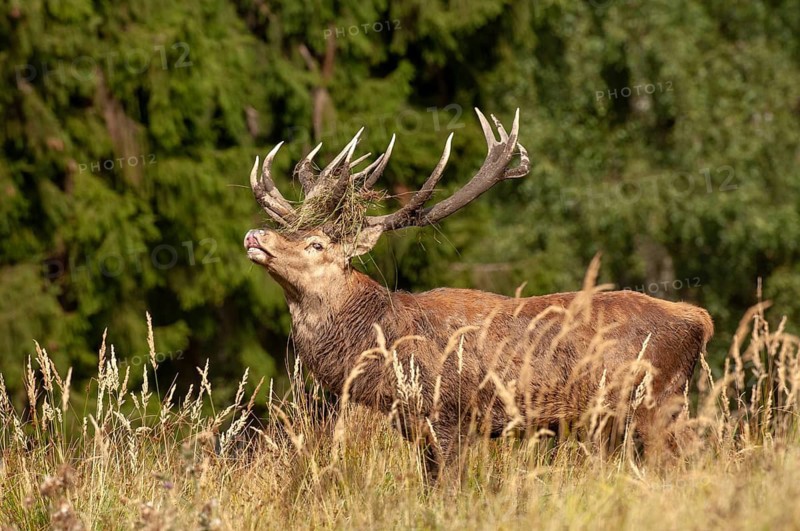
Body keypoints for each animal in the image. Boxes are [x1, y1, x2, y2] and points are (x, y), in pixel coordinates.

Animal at [243, 108, 714, 482]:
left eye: (316, 244)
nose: (255, 235)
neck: (383, 342)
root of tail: (699, 320)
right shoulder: (417, 428)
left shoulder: (449, 415)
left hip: (656, 403)